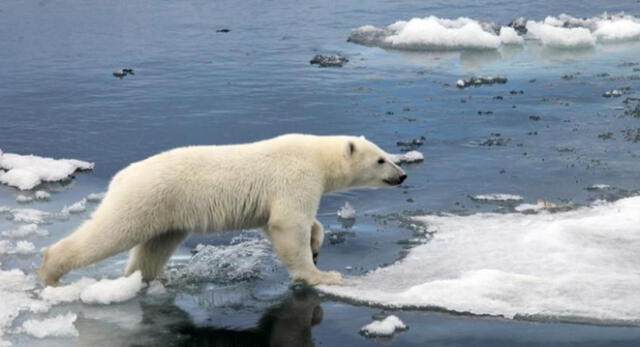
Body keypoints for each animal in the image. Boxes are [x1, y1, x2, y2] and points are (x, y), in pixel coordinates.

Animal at [40, 135, 408, 286]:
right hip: (145, 198)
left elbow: (278, 224)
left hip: (168, 213)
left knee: (154, 248)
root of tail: (122, 176)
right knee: (111, 232)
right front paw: (322, 274)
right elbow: (289, 224)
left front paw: (317, 244)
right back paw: (51, 272)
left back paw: (144, 278)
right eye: (381, 159)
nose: (402, 175)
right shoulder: (294, 177)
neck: (317, 157)